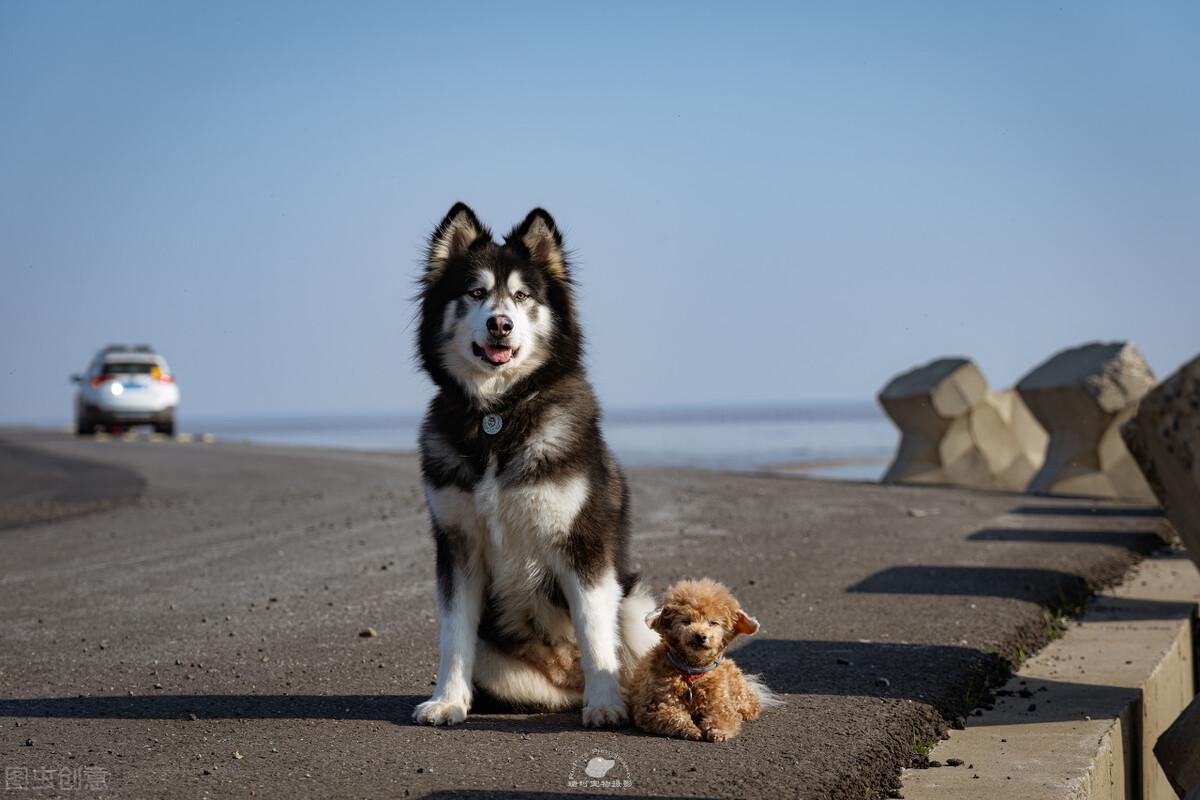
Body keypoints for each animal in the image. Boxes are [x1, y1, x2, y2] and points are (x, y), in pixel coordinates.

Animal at [410, 203, 657, 729]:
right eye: (476, 293)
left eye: (523, 296)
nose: (500, 324)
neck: (498, 415)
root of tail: (565, 683)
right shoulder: (457, 544)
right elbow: (453, 635)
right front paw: (447, 700)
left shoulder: (583, 544)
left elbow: (594, 632)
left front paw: (605, 704)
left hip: (637, 606)